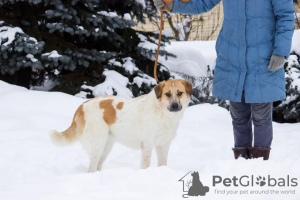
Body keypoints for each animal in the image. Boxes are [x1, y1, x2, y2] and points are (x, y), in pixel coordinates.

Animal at [49, 79, 190, 172]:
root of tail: (82, 106)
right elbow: (145, 165)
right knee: (91, 169)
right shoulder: (147, 145)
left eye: (179, 93)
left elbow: (163, 164)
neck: (162, 112)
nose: (175, 106)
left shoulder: (164, 145)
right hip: (97, 145)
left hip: (106, 146)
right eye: (167, 94)